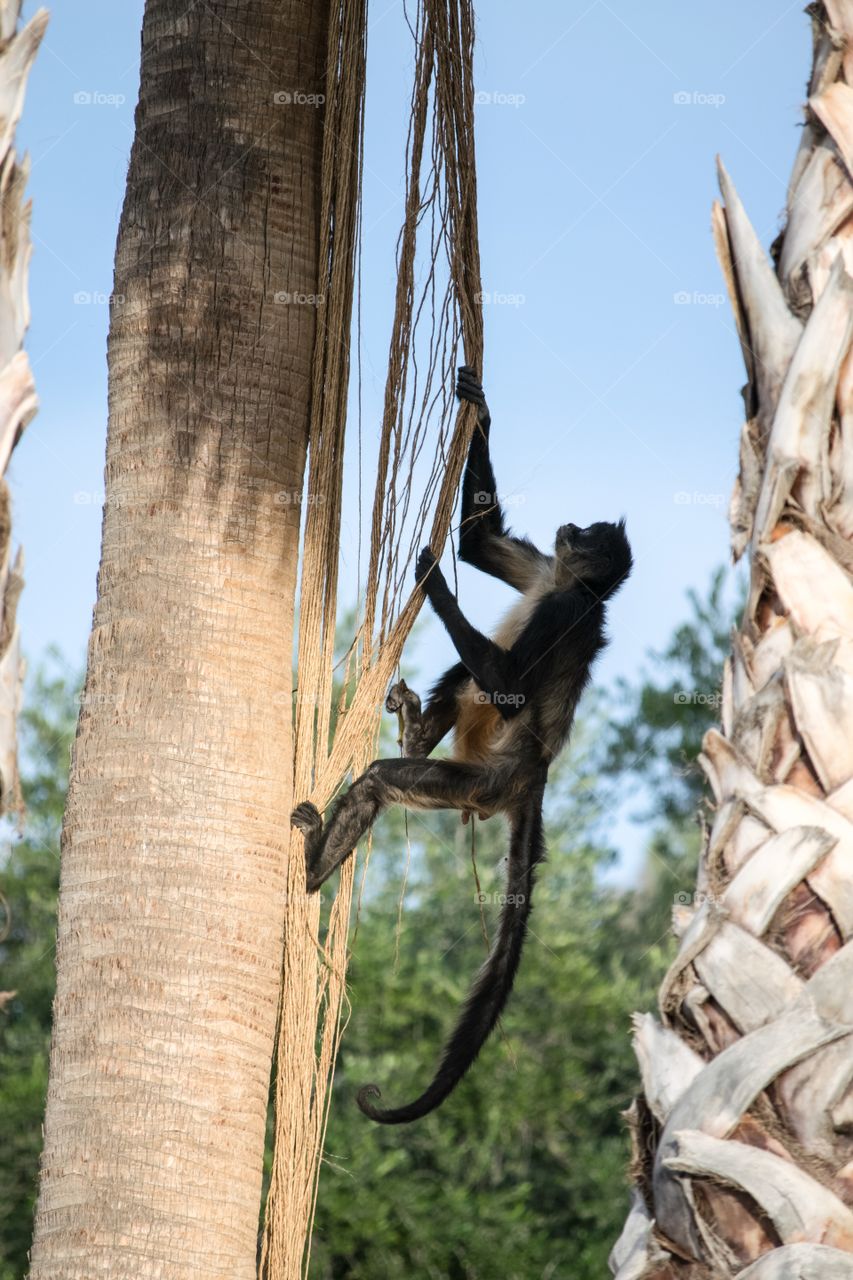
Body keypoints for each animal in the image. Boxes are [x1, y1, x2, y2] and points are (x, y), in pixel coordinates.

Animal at [291, 365, 632, 1125]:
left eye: (587, 533)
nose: (572, 526)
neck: (569, 586)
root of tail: (532, 773)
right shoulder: (544, 573)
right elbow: (479, 541)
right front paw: (479, 404)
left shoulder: (564, 604)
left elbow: (505, 686)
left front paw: (434, 579)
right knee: (457, 683)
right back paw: (416, 729)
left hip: (477, 782)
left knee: (385, 775)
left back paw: (312, 868)